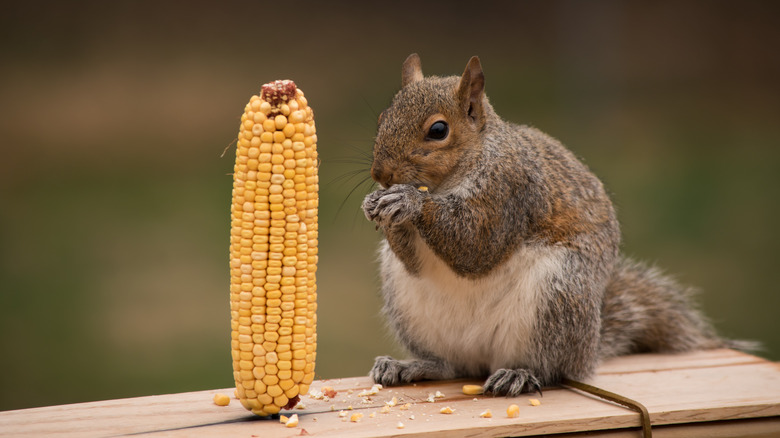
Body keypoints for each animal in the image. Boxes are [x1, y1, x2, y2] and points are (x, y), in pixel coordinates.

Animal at [360, 53, 748, 396]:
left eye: (438, 130)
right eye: (381, 118)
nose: (381, 174)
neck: (449, 180)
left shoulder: (511, 192)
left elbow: (476, 246)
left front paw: (408, 201)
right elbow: (414, 261)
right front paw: (376, 203)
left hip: (558, 296)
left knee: (551, 369)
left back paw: (518, 375)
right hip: (410, 306)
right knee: (451, 365)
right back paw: (410, 366)